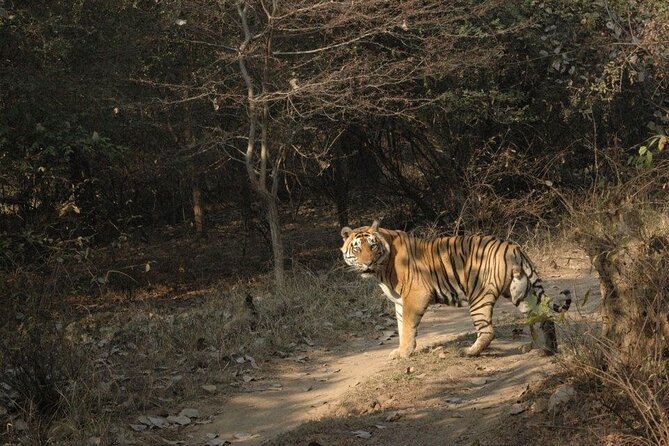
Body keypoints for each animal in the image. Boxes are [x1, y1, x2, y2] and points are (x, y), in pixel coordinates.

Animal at [340, 220, 571, 359]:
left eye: (373, 246)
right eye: (357, 249)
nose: (368, 264)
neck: (382, 269)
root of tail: (514, 248)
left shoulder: (415, 296)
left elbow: (407, 327)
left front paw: (405, 353)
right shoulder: (399, 301)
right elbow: (400, 326)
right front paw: (399, 351)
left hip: (479, 296)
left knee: (488, 331)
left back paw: (469, 352)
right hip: (523, 293)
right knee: (542, 318)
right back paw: (542, 349)